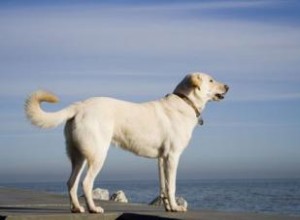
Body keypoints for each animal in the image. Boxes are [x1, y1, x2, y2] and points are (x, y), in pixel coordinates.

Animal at [25, 72, 229, 213]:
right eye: (211, 80)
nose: (227, 86)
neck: (185, 101)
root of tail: (80, 105)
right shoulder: (172, 157)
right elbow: (171, 186)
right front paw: (176, 207)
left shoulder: (161, 159)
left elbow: (163, 187)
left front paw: (169, 208)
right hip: (98, 155)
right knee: (86, 183)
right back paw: (93, 209)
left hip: (79, 157)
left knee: (71, 183)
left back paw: (77, 208)